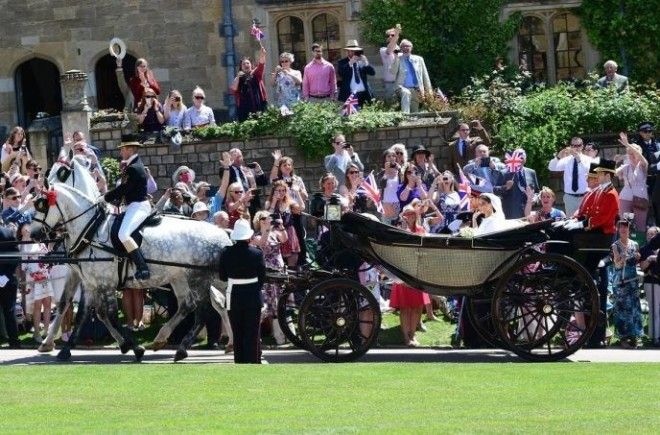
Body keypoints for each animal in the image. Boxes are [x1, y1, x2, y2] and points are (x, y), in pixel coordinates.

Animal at [35, 158, 235, 362]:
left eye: (41, 204)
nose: (34, 233)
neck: (92, 229)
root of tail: (221, 233)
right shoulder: (90, 281)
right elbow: (83, 312)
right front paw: (64, 349)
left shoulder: (104, 282)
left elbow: (109, 315)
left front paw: (135, 348)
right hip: (181, 277)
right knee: (193, 304)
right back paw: (167, 339)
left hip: (198, 278)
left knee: (205, 310)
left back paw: (185, 348)